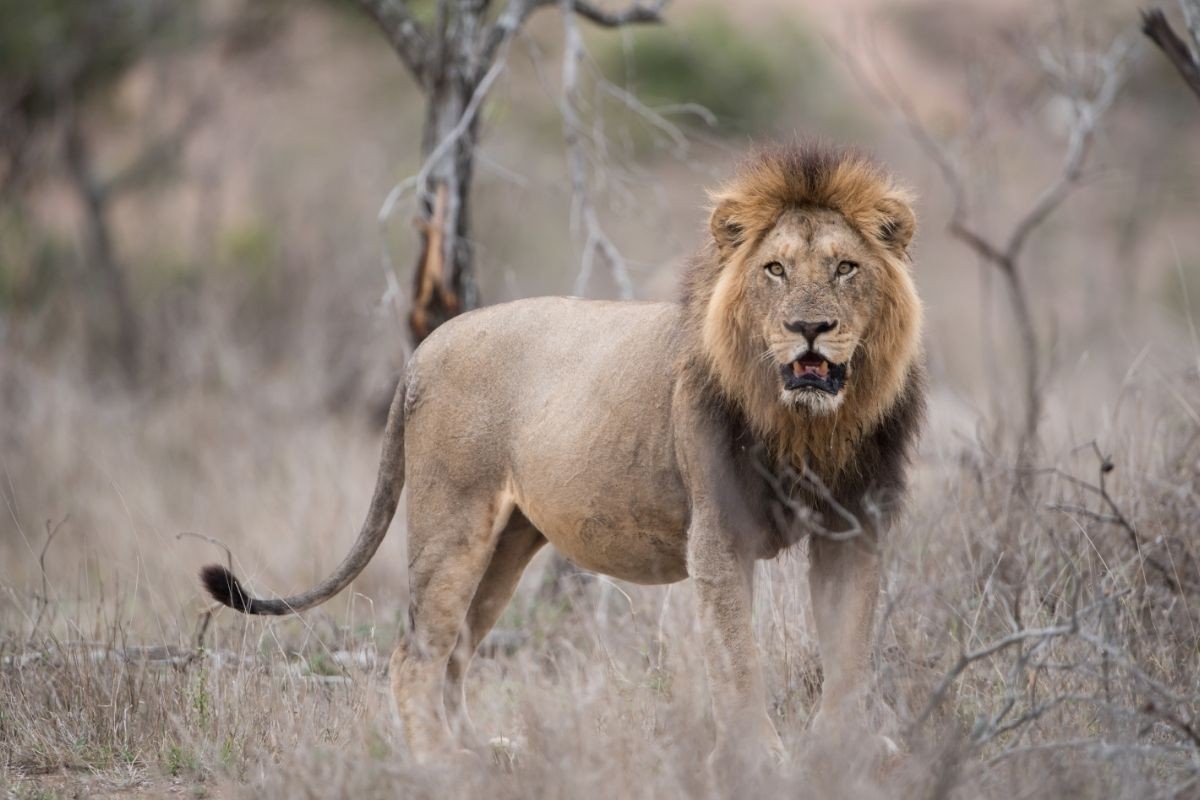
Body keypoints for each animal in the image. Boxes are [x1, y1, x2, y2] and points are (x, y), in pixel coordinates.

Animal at [201, 140, 921, 767]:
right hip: (451, 524)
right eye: (775, 269)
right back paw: (440, 765)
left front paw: (847, 750)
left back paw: (484, 750)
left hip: (508, 542)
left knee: (458, 650)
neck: (809, 428)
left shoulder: (854, 529)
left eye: (846, 267)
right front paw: (760, 759)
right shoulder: (719, 536)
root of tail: (425, 349)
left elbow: (849, 647)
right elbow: (738, 659)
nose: (809, 328)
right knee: (417, 654)